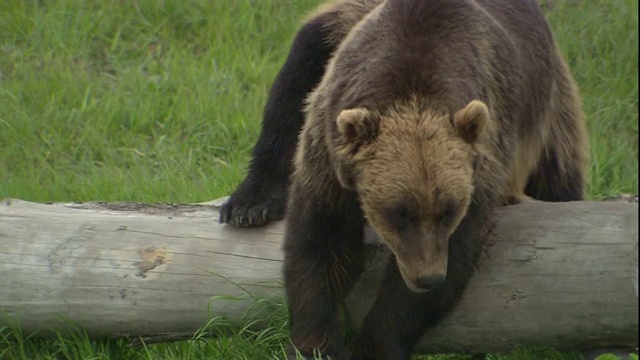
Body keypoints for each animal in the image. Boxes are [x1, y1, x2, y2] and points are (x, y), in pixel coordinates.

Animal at [221, 0, 592, 360]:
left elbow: (454, 254)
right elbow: (321, 239)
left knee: (561, 182)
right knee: (293, 83)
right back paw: (251, 203)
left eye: (448, 211)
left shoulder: (484, 158)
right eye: (399, 212)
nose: (428, 277)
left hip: (550, 110)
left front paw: (374, 345)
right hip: (334, 26)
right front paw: (316, 345)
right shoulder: (327, 151)